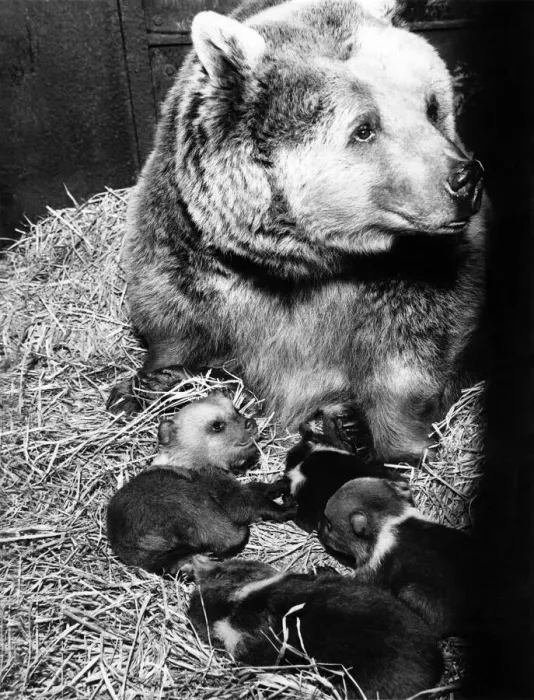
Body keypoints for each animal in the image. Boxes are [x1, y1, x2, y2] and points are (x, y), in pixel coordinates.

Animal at [110, 0, 489, 461]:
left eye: (431, 106)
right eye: (364, 128)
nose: (464, 178)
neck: (305, 260)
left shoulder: (419, 275)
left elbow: (411, 352)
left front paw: (362, 427)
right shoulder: (195, 255)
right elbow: (173, 319)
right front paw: (147, 383)